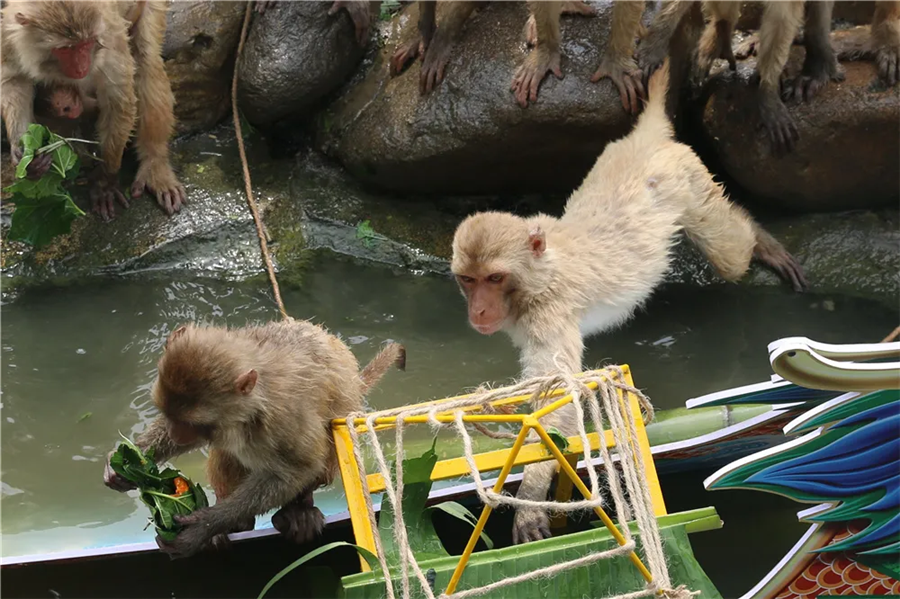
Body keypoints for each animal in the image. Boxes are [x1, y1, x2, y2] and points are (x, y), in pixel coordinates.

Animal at [0, 1, 186, 221]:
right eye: (65, 49)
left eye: (86, 44)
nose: (82, 68)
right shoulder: (8, 33)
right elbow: (13, 81)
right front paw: (25, 154)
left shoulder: (109, 34)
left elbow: (118, 100)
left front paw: (104, 182)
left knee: (147, 62)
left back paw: (154, 163)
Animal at [101, 322, 404, 560]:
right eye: (171, 416)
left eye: (192, 423)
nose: (176, 433)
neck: (250, 409)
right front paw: (127, 464)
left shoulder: (286, 417)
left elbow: (297, 468)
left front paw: (204, 526)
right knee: (228, 454)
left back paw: (298, 510)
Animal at [454, 58, 804, 548]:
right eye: (468, 280)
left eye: (494, 278)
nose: (479, 310)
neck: (538, 274)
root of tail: (647, 141)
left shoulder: (549, 310)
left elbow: (560, 397)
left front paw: (531, 496)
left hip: (687, 178)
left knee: (731, 255)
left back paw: (760, 241)